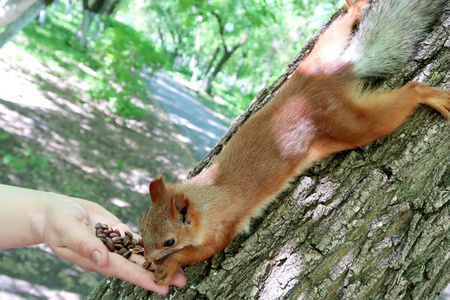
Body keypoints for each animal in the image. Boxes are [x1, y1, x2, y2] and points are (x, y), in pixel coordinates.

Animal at [141, 0, 450, 284]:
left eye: (169, 241)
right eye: (142, 226)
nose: (147, 256)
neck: (207, 195)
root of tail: (343, 70)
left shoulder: (223, 228)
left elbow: (203, 251)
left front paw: (170, 264)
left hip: (351, 123)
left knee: (403, 99)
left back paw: (429, 95)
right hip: (315, 61)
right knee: (334, 35)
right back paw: (354, 8)